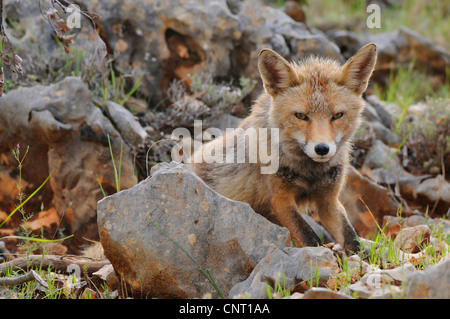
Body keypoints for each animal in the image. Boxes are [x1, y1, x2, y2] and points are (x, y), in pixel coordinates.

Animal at [188, 43, 378, 254]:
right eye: (301, 116)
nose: (322, 149)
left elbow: (351, 238)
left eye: (337, 115)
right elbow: (308, 236)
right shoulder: (281, 199)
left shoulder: (329, 201)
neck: (310, 172)